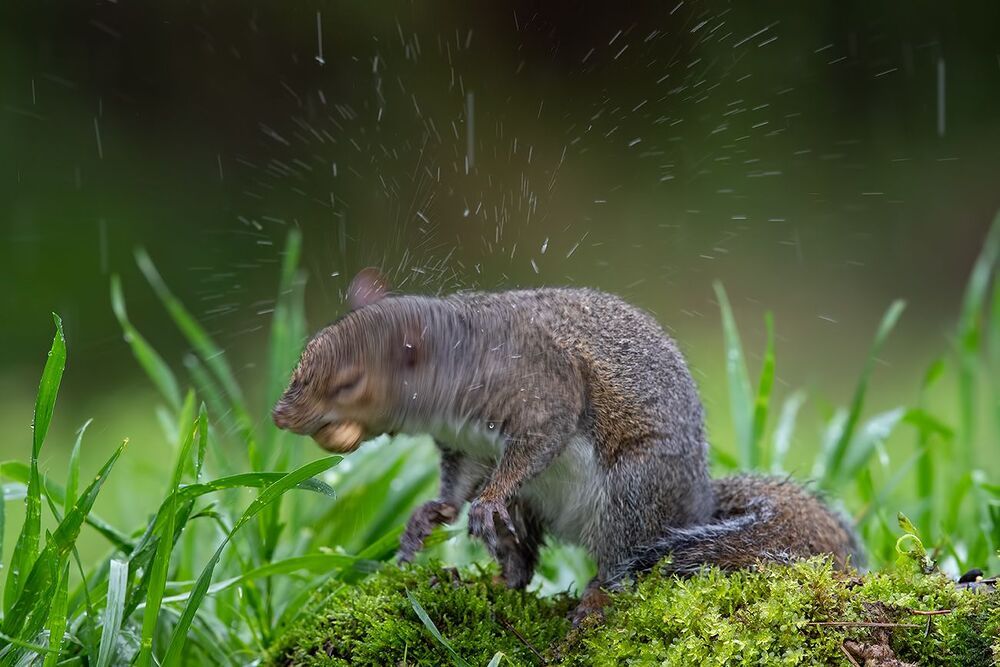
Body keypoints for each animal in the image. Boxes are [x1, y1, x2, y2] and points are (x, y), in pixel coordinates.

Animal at [272, 269, 863, 622]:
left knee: (620, 566)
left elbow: (538, 443)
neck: (459, 359)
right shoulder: (466, 447)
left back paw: (594, 599)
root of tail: (695, 506)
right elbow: (458, 482)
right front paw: (432, 512)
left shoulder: (543, 394)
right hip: (533, 509)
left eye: (349, 384)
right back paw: (495, 585)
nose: (281, 415)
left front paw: (484, 500)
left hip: (633, 495)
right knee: (523, 563)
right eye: (306, 352)